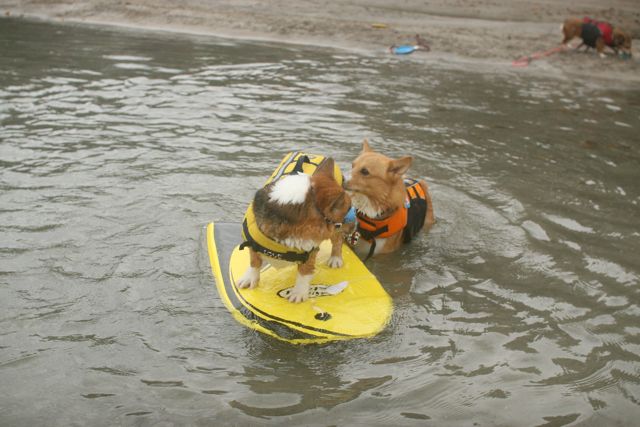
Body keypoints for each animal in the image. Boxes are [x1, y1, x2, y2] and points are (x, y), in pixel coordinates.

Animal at [236, 154, 356, 304]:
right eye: (347, 213)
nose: (355, 226)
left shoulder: (310, 251)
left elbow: (304, 272)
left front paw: (298, 293)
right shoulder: (252, 243)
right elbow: (254, 261)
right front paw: (249, 278)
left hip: (334, 235)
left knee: (337, 241)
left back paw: (335, 259)